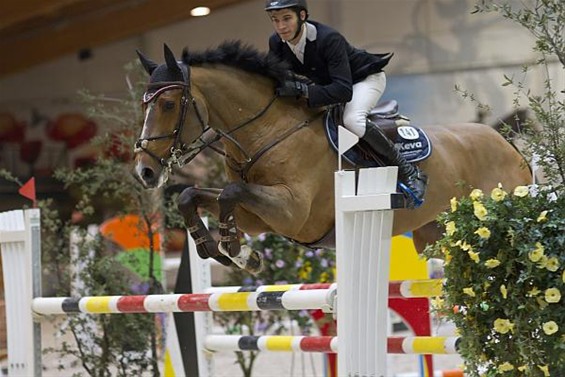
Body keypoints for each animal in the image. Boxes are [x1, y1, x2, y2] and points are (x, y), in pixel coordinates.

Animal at [134, 41, 532, 274]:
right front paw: (217, 249)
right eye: (145, 104)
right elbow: (194, 196)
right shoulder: (258, 217)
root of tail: (508, 145)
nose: (145, 171)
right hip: (433, 235)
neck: (267, 132)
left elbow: (230, 194)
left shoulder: (292, 213)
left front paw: (236, 250)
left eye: (168, 104)